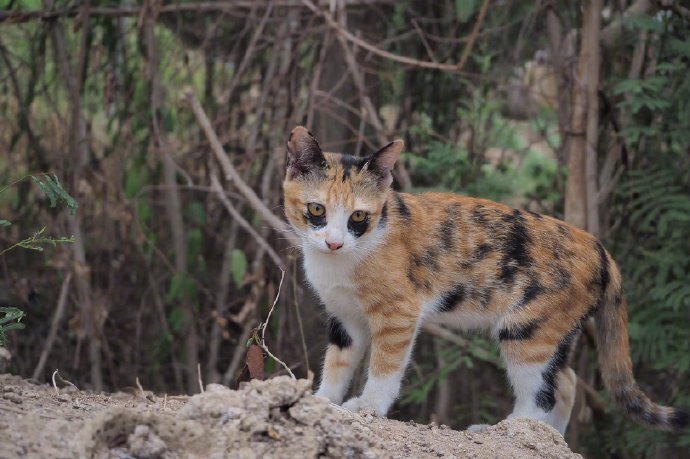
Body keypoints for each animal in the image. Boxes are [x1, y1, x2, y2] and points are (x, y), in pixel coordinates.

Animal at [278, 125, 684, 434]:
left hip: (527, 330)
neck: (340, 262)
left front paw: (367, 407)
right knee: (568, 383)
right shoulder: (345, 316)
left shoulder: (399, 313)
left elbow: (385, 365)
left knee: (543, 393)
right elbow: (337, 363)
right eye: (317, 209)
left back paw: (508, 430)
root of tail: (600, 249)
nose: (334, 241)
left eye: (358, 217)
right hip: (557, 331)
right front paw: (321, 403)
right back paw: (547, 436)